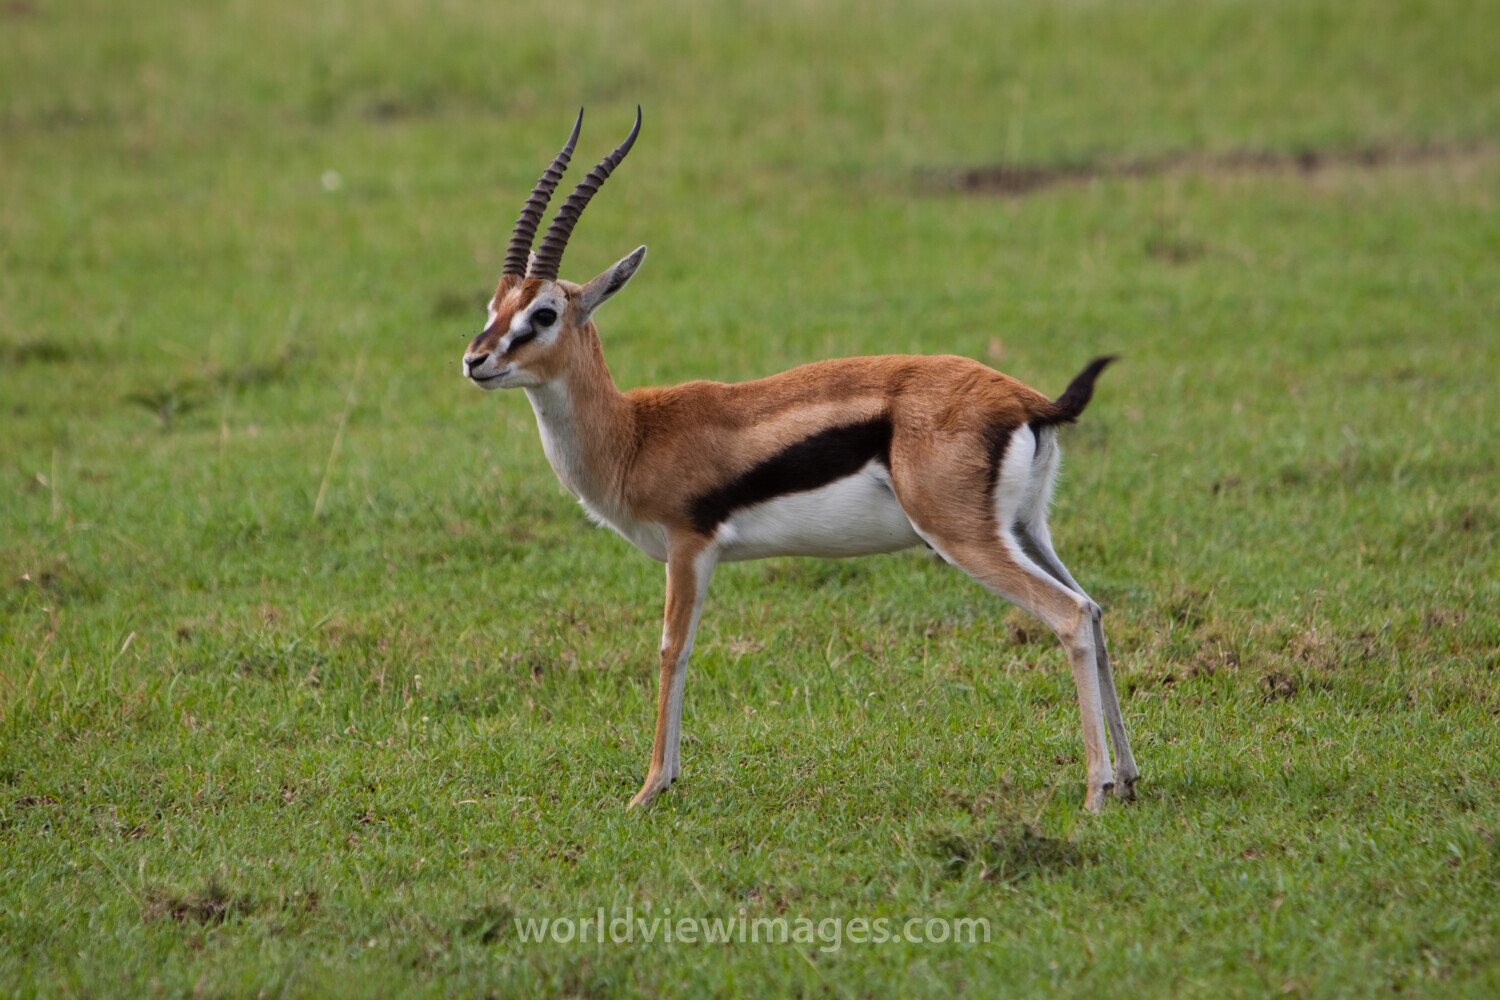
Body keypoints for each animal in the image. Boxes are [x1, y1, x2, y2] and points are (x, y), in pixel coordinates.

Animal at [463, 109, 1139, 812]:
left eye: (543, 313)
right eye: (494, 308)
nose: (475, 361)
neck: (634, 433)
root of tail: (1028, 400)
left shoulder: (689, 547)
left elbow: (673, 650)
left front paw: (649, 789)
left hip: (963, 538)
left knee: (1067, 615)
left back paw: (1094, 791)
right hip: (1027, 531)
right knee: (1092, 609)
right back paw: (1128, 779)